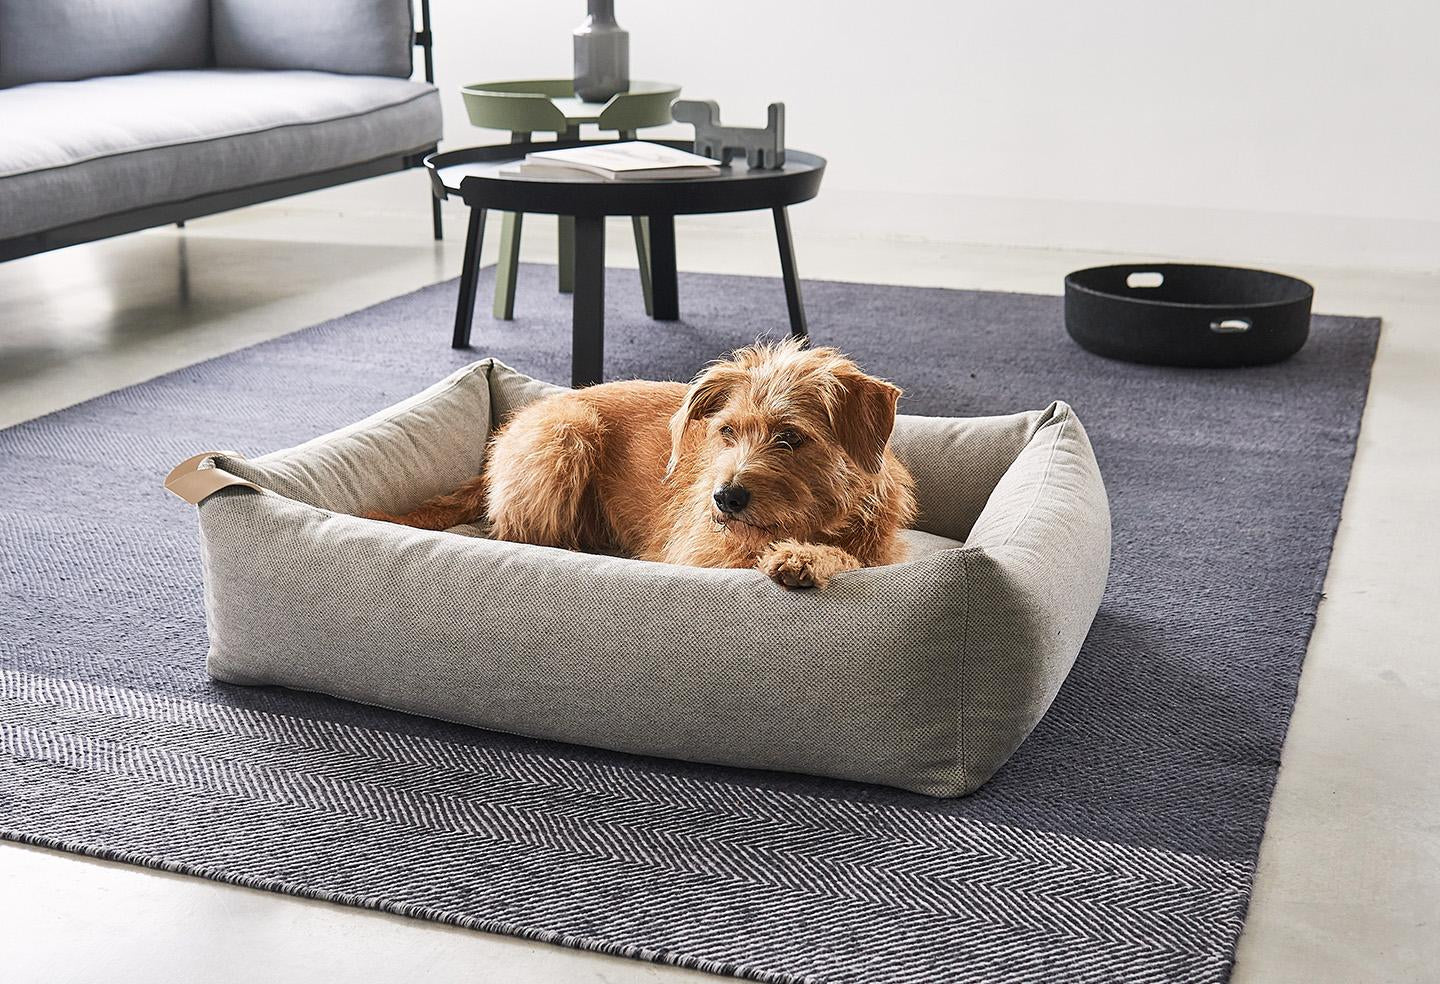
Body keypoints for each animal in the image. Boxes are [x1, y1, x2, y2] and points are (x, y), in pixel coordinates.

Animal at [367, 340, 918, 588]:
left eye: (790, 438)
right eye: (727, 431)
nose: (725, 498)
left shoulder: (882, 553)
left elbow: (851, 558)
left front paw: (805, 558)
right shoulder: (699, 555)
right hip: (567, 433)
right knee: (522, 536)